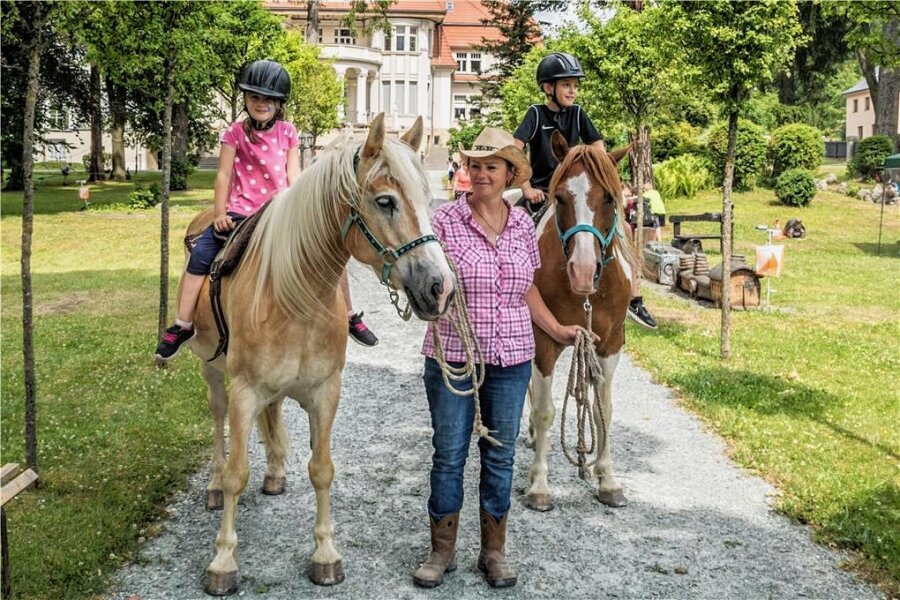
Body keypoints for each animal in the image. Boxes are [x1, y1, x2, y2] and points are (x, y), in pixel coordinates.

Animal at [181, 113, 458, 596]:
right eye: (385, 201)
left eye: (428, 199)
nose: (439, 288)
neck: (295, 295)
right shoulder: (244, 392)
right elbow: (237, 474)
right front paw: (223, 560)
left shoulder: (326, 392)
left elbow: (322, 469)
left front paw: (326, 554)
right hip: (212, 372)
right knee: (217, 425)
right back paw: (213, 483)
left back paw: (275, 474)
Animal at [524, 134, 636, 512]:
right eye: (560, 197)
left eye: (609, 198)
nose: (583, 271)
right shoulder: (543, 341)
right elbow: (545, 411)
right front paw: (539, 485)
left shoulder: (609, 344)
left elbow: (604, 410)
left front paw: (608, 479)